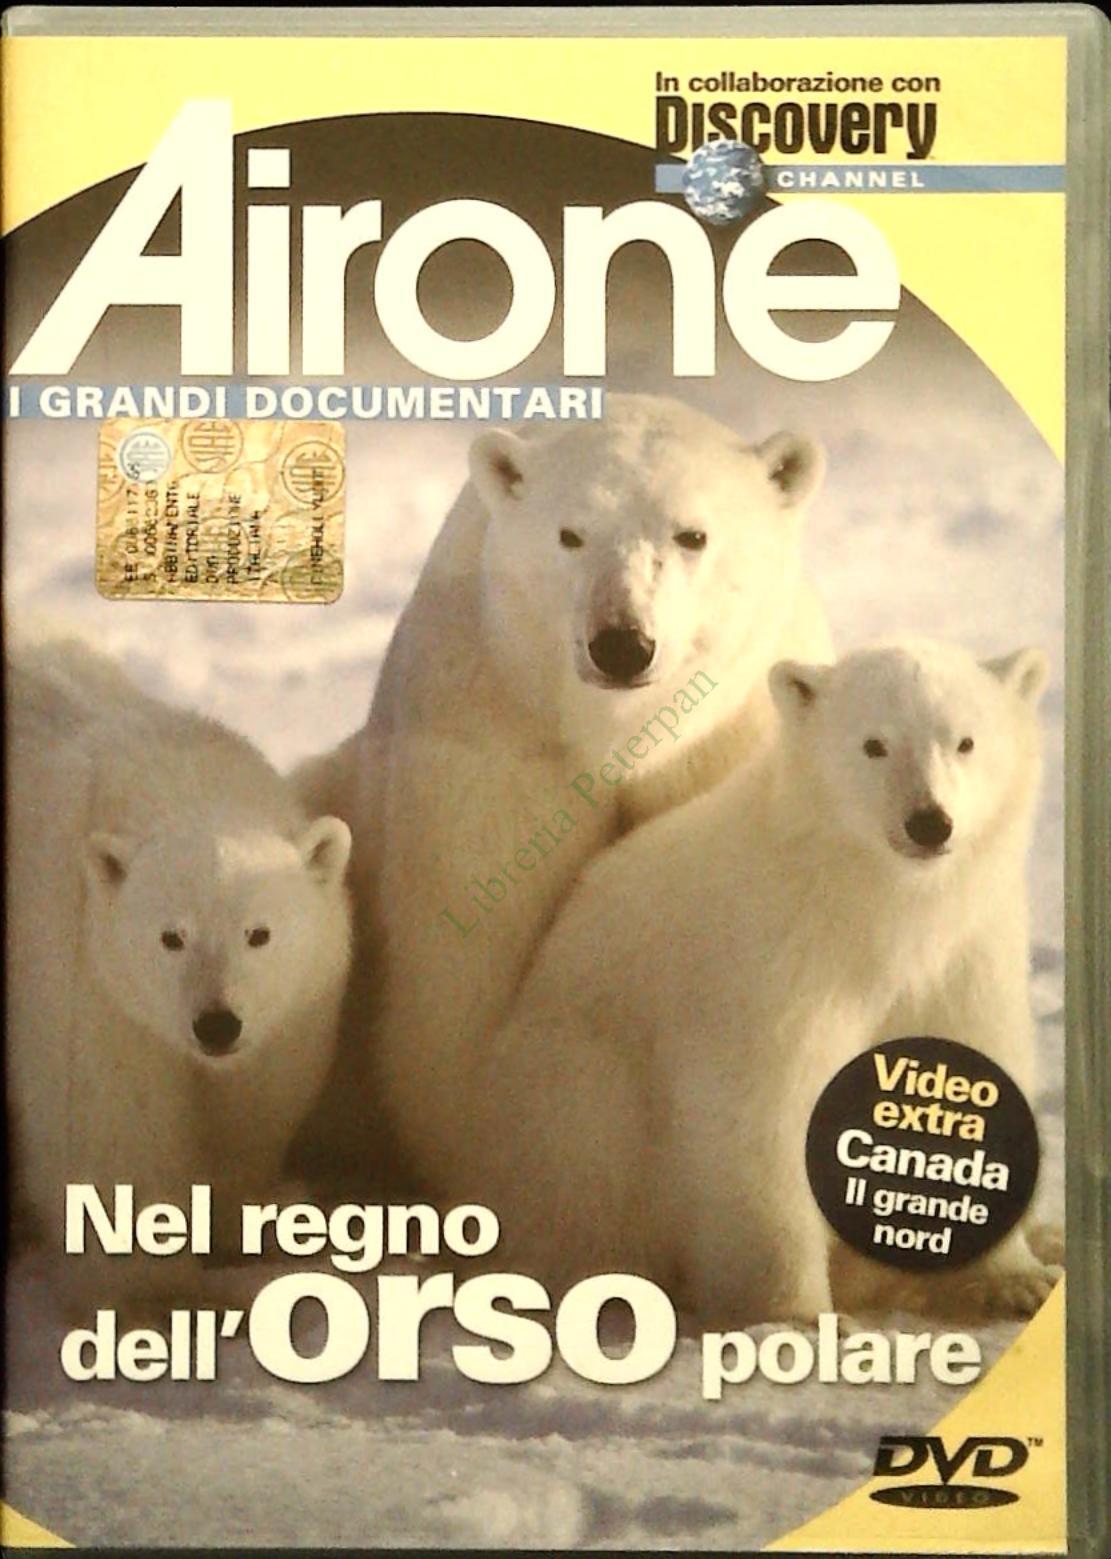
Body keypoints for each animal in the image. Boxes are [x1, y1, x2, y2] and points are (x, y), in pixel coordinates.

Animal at [6, 637, 354, 1302]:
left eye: (258, 933)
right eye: (171, 937)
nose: (217, 1024)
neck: (179, 778)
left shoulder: (288, 1021)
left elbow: (246, 1116)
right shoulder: (91, 987)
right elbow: (114, 1129)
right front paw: (155, 1295)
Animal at [296, 393, 832, 1195]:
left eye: (692, 534)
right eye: (570, 533)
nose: (621, 644)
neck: (616, 738)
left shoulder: (728, 746)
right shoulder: (495, 744)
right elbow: (467, 973)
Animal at [426, 638, 1059, 1326]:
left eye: (964, 741)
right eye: (874, 744)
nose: (929, 822)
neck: (872, 900)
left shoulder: (967, 949)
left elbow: (969, 1073)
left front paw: (1016, 1281)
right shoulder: (777, 958)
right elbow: (765, 1113)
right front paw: (797, 1313)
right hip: (580, 1091)